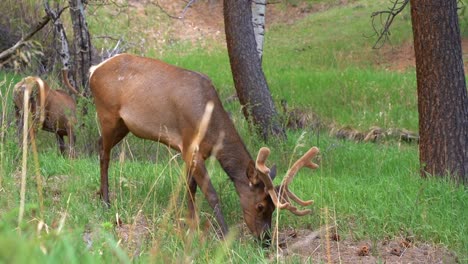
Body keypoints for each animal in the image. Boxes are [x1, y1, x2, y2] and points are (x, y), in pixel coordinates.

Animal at [89, 54, 320, 243]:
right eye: (260, 205)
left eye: (273, 207)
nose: (265, 239)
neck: (210, 125)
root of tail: (94, 70)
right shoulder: (191, 146)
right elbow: (211, 194)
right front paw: (225, 235)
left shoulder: (193, 152)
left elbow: (190, 187)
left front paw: (192, 224)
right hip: (107, 113)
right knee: (104, 153)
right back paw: (106, 201)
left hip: (123, 125)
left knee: (99, 144)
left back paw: (101, 195)